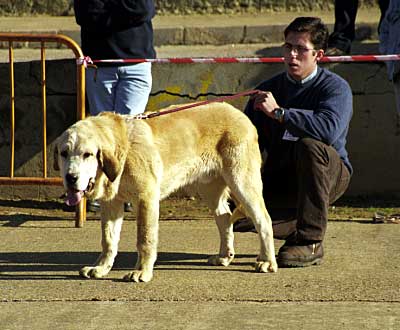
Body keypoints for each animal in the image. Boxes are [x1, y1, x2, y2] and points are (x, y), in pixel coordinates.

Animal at [54, 102, 278, 282]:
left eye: (87, 154)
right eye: (64, 153)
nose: (71, 177)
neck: (123, 150)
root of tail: (239, 113)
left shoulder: (146, 199)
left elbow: (145, 239)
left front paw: (142, 272)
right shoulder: (111, 204)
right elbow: (108, 240)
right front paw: (101, 268)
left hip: (242, 182)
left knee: (263, 219)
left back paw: (267, 261)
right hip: (210, 189)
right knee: (224, 217)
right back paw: (224, 256)